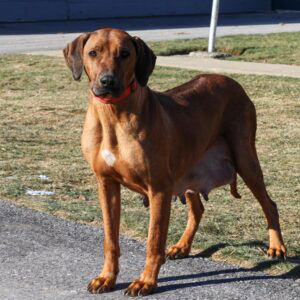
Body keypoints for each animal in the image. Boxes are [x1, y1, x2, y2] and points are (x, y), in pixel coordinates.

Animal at [63, 29, 286, 296]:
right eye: (93, 53)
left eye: (125, 54)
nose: (107, 81)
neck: (113, 116)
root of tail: (229, 80)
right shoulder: (106, 185)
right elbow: (110, 239)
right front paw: (107, 277)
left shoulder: (159, 189)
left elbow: (154, 241)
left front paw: (146, 281)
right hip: (188, 170)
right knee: (198, 209)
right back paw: (182, 246)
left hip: (245, 159)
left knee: (269, 204)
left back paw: (277, 247)